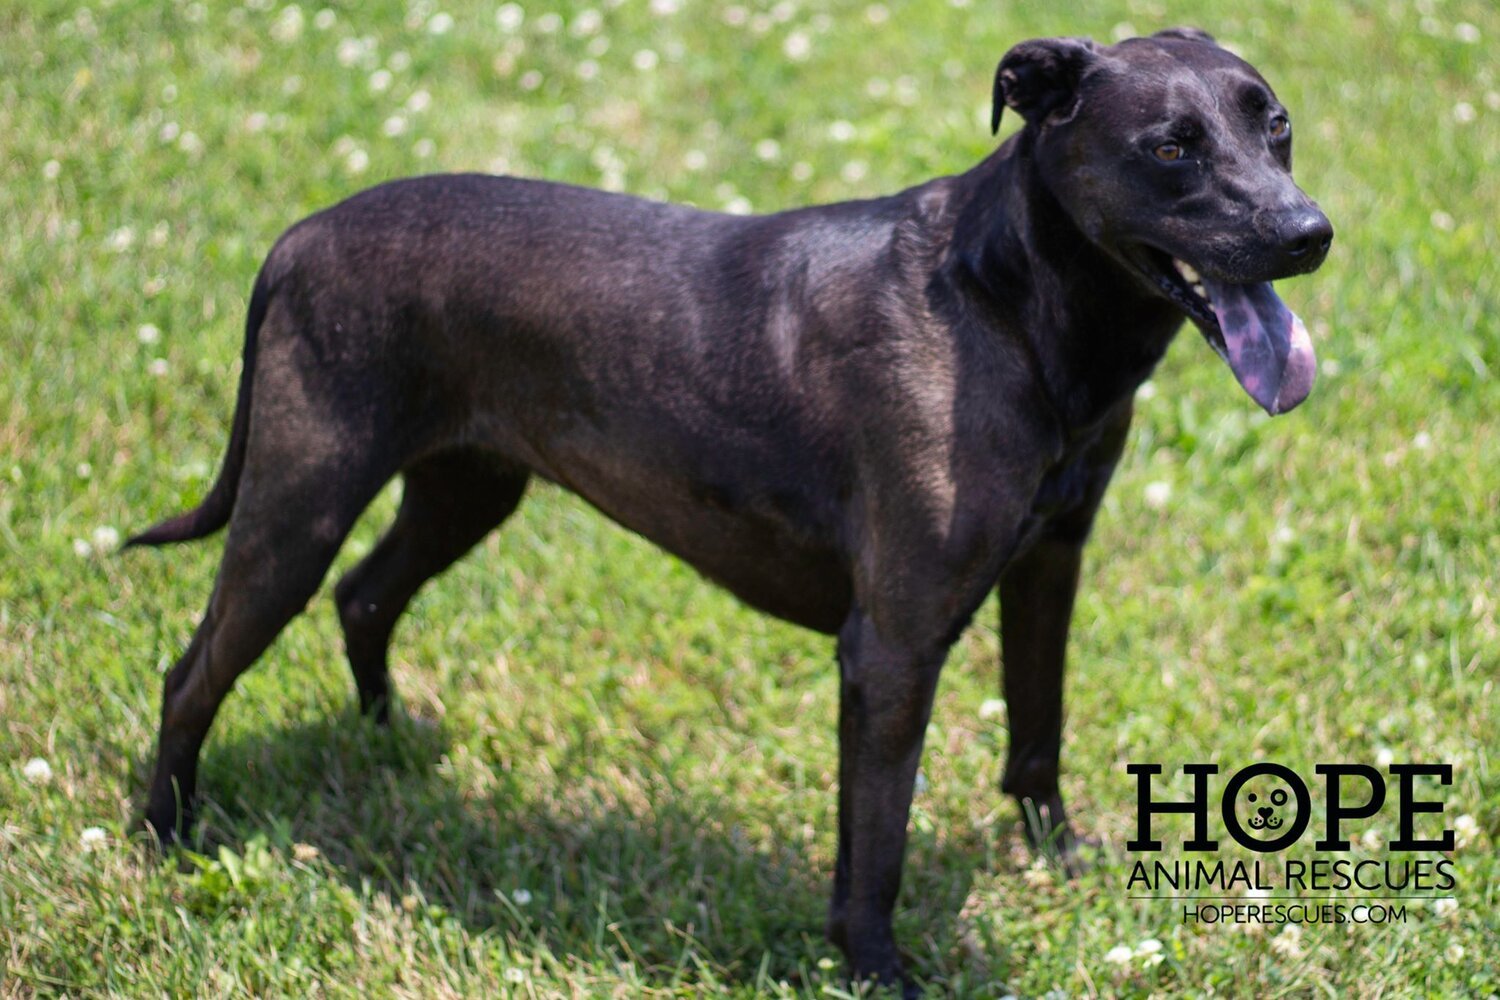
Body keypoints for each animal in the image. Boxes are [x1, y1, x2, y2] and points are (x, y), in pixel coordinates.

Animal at [129, 27, 1326, 989]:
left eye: (1276, 129)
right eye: (1169, 148)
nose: (1309, 233)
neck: (1010, 305)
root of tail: (299, 234)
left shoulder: (1050, 561)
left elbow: (1039, 727)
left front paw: (1057, 857)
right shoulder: (892, 643)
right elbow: (876, 841)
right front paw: (875, 969)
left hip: (466, 486)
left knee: (366, 596)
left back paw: (386, 740)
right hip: (301, 504)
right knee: (195, 672)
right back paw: (164, 836)